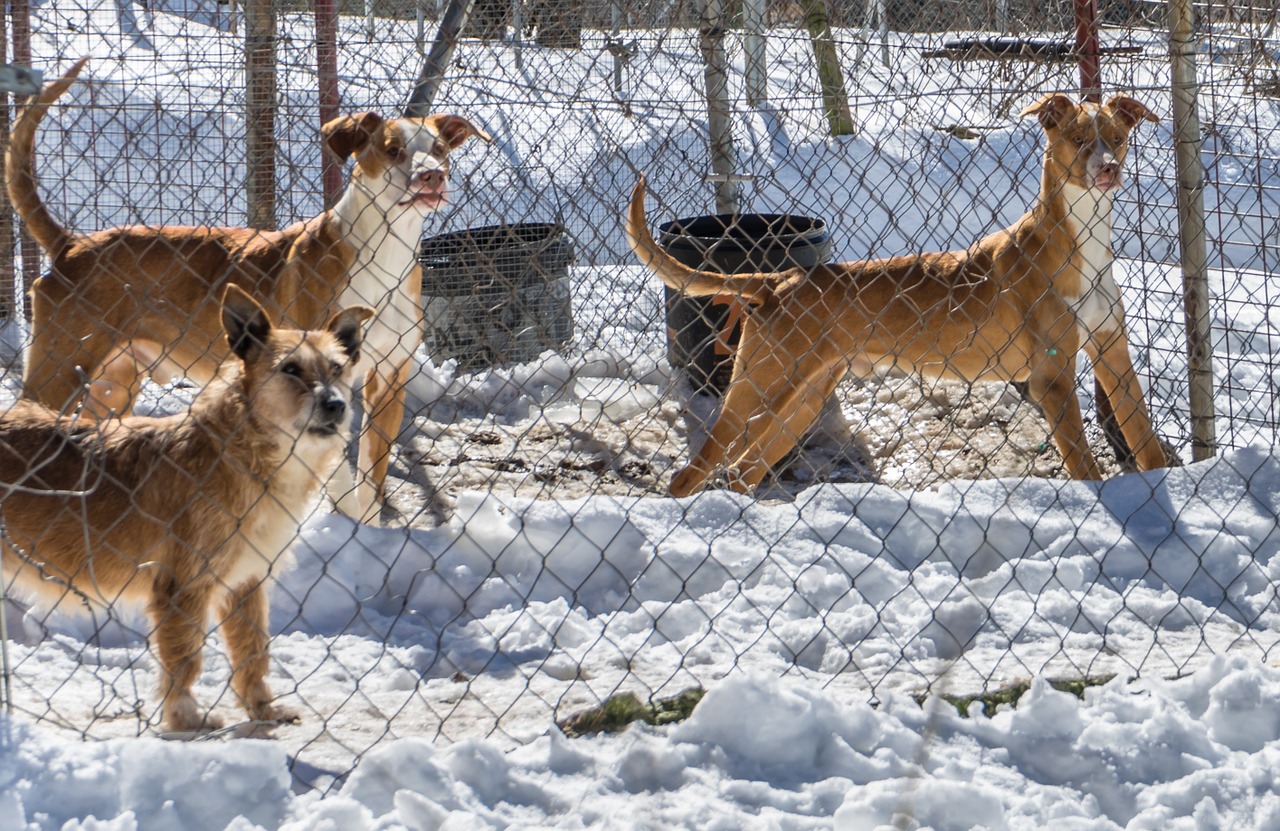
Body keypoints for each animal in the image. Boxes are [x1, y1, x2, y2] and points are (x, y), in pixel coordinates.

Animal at [8, 58, 488, 524]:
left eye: (440, 150)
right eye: (393, 150)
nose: (433, 176)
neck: (386, 247)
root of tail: (71, 245)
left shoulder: (390, 379)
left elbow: (372, 475)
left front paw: (367, 531)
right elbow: (337, 469)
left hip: (114, 383)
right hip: (58, 371)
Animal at [627, 94, 1172, 496]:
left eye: (1118, 139)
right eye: (1079, 140)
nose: (1108, 169)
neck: (1082, 239)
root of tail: (778, 280)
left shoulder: (1113, 355)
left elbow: (1145, 442)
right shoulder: (1050, 378)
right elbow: (1085, 466)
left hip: (804, 396)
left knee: (743, 470)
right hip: (758, 387)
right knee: (693, 472)